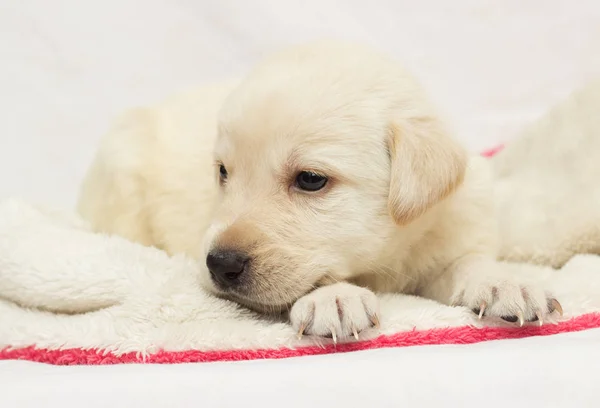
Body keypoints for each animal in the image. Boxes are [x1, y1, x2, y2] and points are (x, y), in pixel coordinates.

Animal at [78, 41, 556, 342]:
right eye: (223, 172)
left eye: (310, 179)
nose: (219, 264)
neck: (384, 260)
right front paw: (335, 297)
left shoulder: (448, 232)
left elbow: (468, 262)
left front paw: (505, 282)